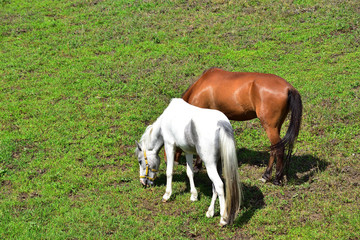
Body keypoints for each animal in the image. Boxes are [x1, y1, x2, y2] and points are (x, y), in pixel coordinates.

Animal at [135, 98, 242, 226]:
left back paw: (223, 218)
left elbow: (169, 172)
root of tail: (221, 124)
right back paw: (210, 212)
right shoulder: (188, 151)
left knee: (219, 185)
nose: (143, 182)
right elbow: (190, 173)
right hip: (218, 164)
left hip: (210, 164)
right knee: (215, 186)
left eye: (140, 161)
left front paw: (167, 195)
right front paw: (194, 195)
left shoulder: (169, 145)